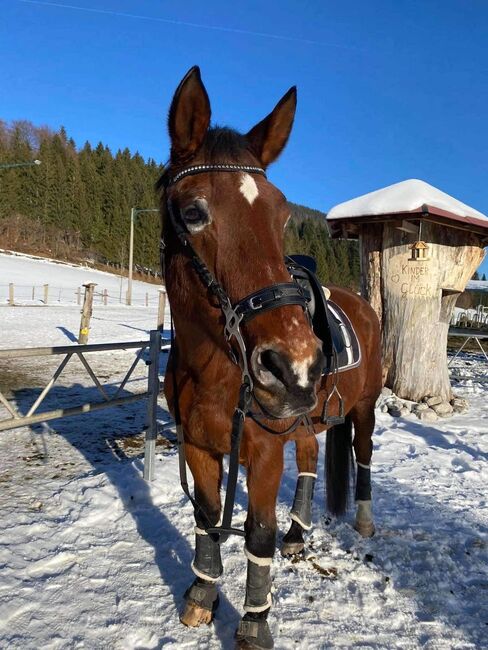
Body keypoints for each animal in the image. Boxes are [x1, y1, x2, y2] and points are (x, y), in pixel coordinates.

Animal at [158, 68, 384, 644]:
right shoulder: (198, 444)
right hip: (304, 418)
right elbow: (207, 518)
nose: (295, 367)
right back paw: (299, 535)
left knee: (363, 452)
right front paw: (202, 595)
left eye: (281, 215)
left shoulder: (261, 452)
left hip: (364, 407)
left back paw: (364, 520)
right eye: (192, 212)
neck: (213, 370)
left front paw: (254, 623)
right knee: (308, 458)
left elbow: (257, 534)